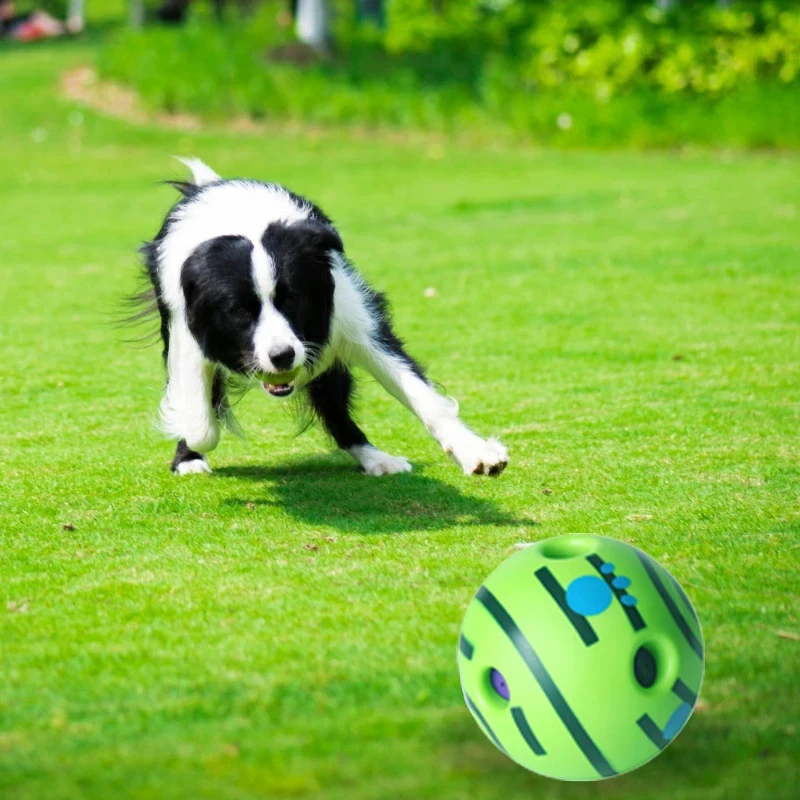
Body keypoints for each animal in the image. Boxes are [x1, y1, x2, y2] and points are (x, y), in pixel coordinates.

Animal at [140, 159, 510, 478]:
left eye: (292, 299)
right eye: (239, 310)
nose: (282, 356)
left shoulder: (351, 320)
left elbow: (422, 395)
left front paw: (477, 453)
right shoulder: (188, 331)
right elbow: (199, 421)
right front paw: (190, 445)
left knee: (334, 404)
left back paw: (375, 457)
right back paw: (189, 459)